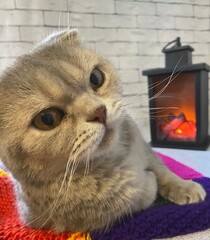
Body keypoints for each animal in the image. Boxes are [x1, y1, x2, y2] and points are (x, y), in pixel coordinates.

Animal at [0, 29, 206, 233]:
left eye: (96, 78)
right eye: (48, 118)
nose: (99, 111)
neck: (117, 157)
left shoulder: (145, 148)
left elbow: (163, 170)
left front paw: (184, 187)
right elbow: (138, 194)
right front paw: (149, 182)